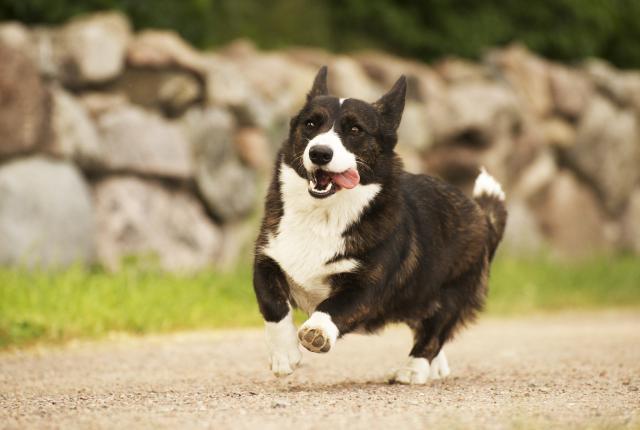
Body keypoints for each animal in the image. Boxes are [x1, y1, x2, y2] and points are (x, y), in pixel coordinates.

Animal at [252, 66, 508, 382]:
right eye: (311, 124)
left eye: (355, 130)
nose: (319, 153)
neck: (322, 214)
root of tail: (481, 214)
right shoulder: (266, 261)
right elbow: (273, 304)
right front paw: (284, 356)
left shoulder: (365, 288)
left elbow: (332, 306)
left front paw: (317, 331)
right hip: (416, 296)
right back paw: (436, 367)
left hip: (450, 294)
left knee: (433, 334)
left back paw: (414, 369)